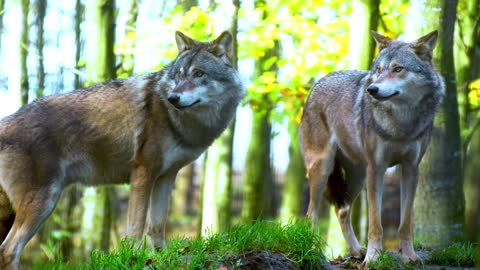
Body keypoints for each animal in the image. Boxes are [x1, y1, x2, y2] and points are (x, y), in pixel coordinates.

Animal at [0, 30, 246, 268]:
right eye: (179, 74)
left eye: (199, 74)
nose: (172, 97)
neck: (180, 121)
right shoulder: (143, 173)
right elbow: (136, 227)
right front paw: (135, 258)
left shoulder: (166, 177)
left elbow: (156, 226)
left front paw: (162, 257)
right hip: (43, 203)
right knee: (9, 250)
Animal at [302, 30, 444, 264]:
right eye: (378, 70)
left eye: (398, 69)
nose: (371, 89)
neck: (401, 123)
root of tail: (318, 83)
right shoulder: (377, 168)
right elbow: (375, 223)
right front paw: (374, 258)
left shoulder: (411, 168)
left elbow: (405, 223)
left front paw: (409, 256)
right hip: (323, 169)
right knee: (311, 214)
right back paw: (314, 251)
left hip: (357, 177)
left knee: (342, 211)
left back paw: (355, 250)